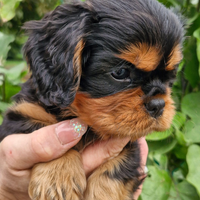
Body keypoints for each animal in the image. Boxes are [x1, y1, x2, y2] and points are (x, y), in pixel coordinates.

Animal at [0, 0, 184, 199]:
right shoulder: (20, 115)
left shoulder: (131, 144)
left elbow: (118, 167)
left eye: (170, 76)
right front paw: (58, 175)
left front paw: (103, 193)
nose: (158, 105)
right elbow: (44, 128)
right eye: (120, 72)